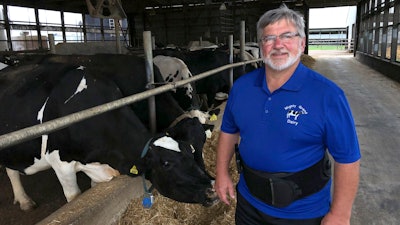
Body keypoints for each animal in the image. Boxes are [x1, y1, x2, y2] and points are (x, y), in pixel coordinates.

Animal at [0, 54, 217, 211]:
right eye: (166, 164)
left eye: (193, 150)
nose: (212, 190)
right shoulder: (60, 164)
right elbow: (74, 197)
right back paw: (24, 200)